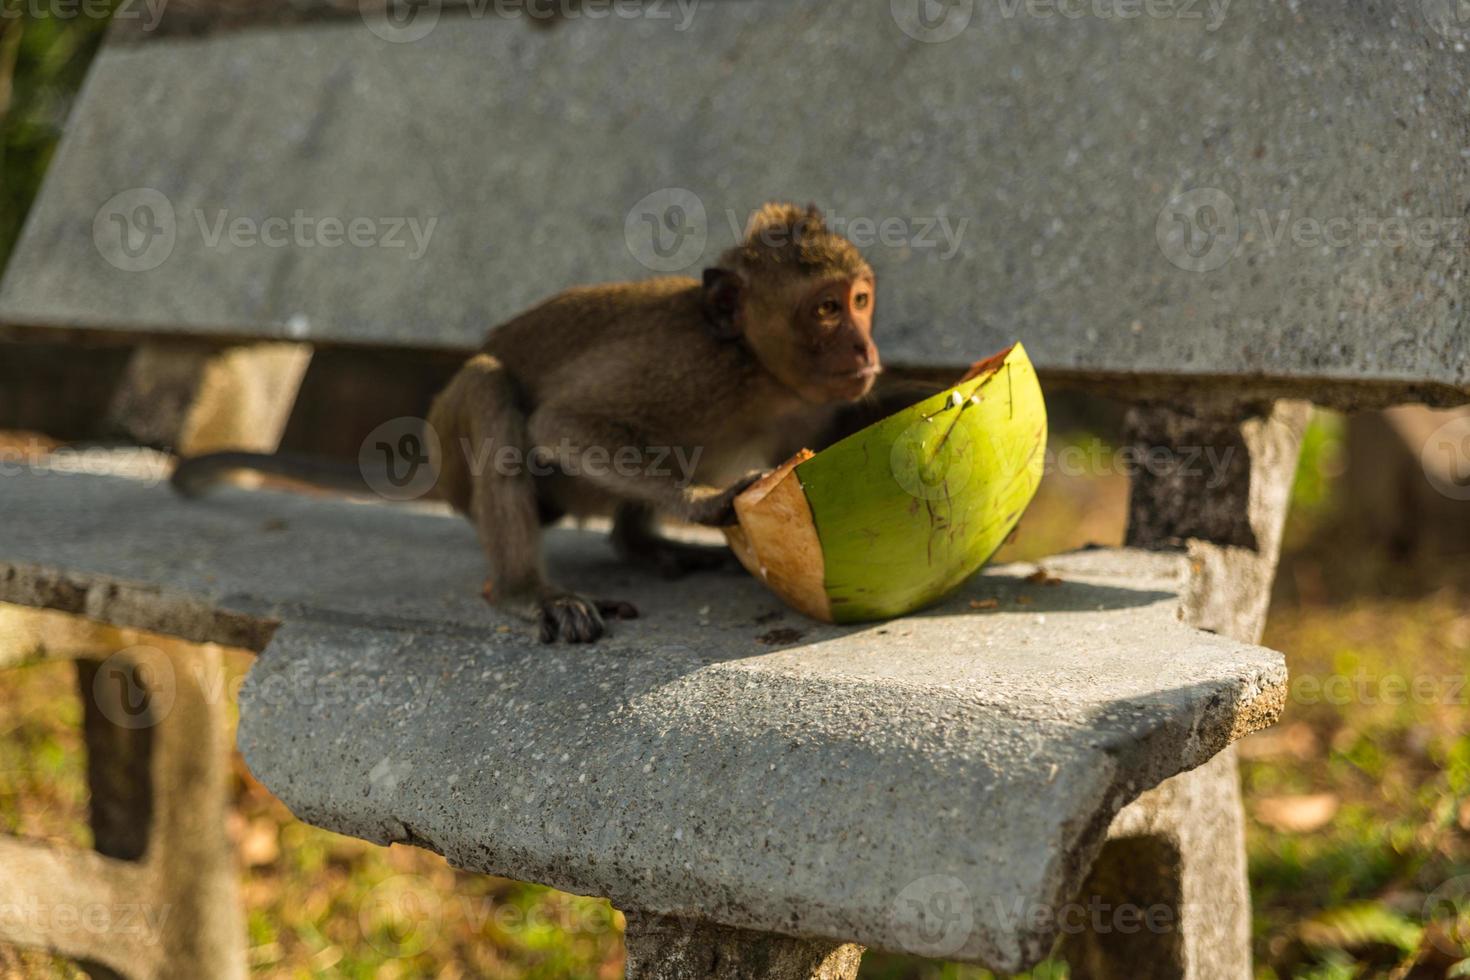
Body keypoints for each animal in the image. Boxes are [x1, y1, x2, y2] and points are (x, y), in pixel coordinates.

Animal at [173, 202, 882, 640]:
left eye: (860, 300)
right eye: (825, 310)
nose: (865, 350)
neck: (755, 370)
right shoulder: (690, 369)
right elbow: (560, 424)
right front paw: (705, 502)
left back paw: (642, 544)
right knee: (491, 391)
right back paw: (527, 590)